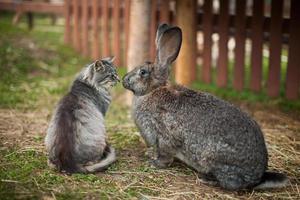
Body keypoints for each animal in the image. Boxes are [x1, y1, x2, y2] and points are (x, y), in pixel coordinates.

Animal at [122, 24, 288, 190]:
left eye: (142, 72)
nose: (124, 80)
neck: (152, 91)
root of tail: (258, 176)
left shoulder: (164, 137)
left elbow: (165, 155)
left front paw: (154, 163)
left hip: (214, 158)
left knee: (233, 183)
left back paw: (208, 179)